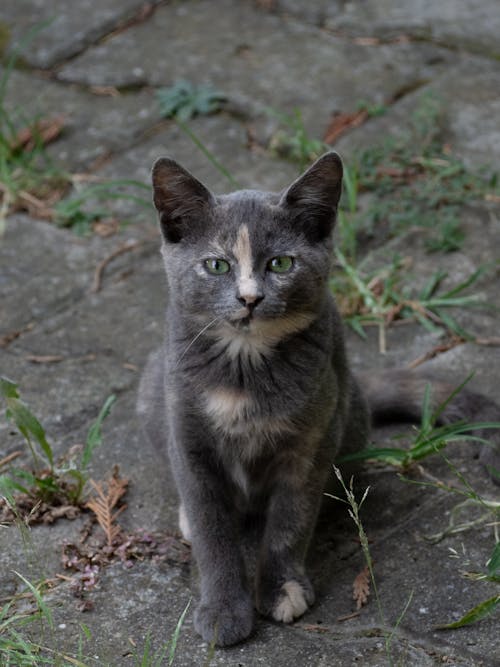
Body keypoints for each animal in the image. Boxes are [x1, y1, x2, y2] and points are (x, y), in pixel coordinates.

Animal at [138, 153, 500, 648]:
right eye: (216, 265)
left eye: (281, 263)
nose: (250, 298)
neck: (245, 367)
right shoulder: (188, 435)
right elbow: (213, 528)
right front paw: (223, 608)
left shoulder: (313, 434)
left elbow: (291, 518)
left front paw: (281, 587)